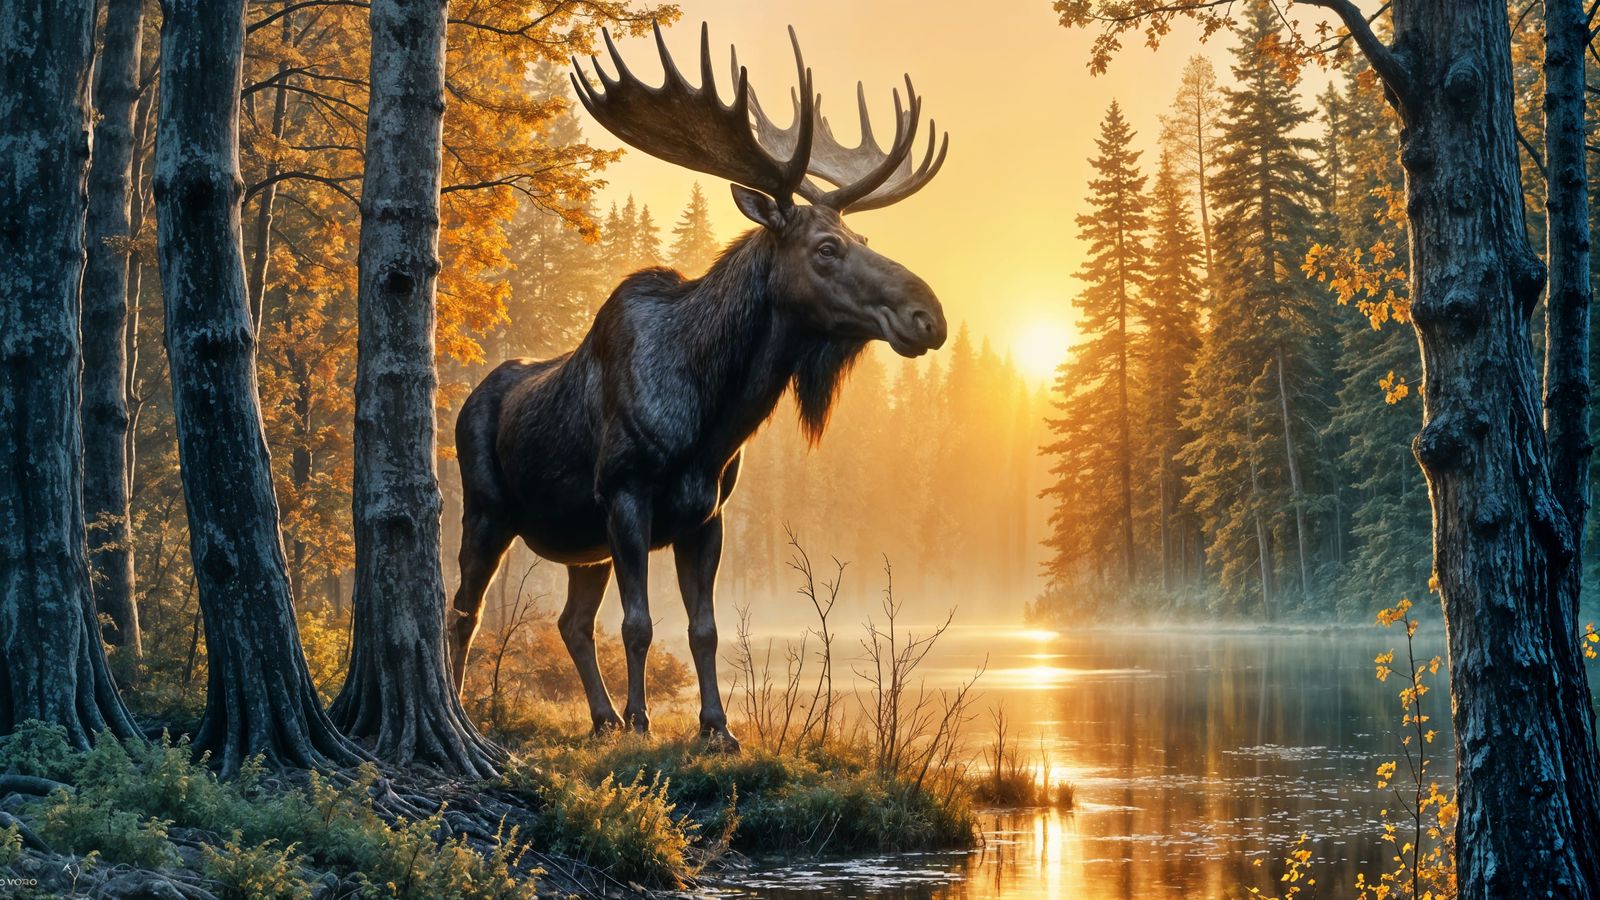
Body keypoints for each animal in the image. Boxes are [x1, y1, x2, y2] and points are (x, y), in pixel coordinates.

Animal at [448, 22, 949, 750]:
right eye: (826, 248)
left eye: (859, 233)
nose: (929, 315)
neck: (712, 418)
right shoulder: (625, 496)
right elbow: (638, 625)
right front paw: (643, 724)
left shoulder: (706, 514)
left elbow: (704, 629)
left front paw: (715, 728)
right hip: (487, 510)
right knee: (464, 606)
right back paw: (467, 708)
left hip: (582, 545)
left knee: (570, 622)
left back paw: (600, 718)